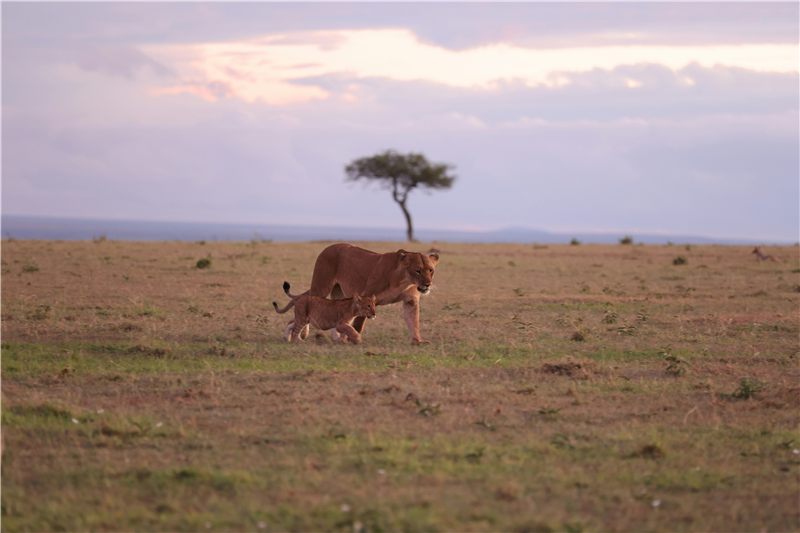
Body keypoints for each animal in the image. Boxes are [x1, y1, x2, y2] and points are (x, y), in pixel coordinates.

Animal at [295, 243, 439, 344]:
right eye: (418, 271)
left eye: (430, 270)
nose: (428, 284)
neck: (404, 281)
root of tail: (328, 247)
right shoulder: (366, 296)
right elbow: (358, 323)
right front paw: (353, 340)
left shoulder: (411, 301)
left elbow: (414, 322)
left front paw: (417, 341)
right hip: (321, 286)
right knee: (310, 302)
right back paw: (303, 334)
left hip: (338, 293)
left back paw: (337, 338)